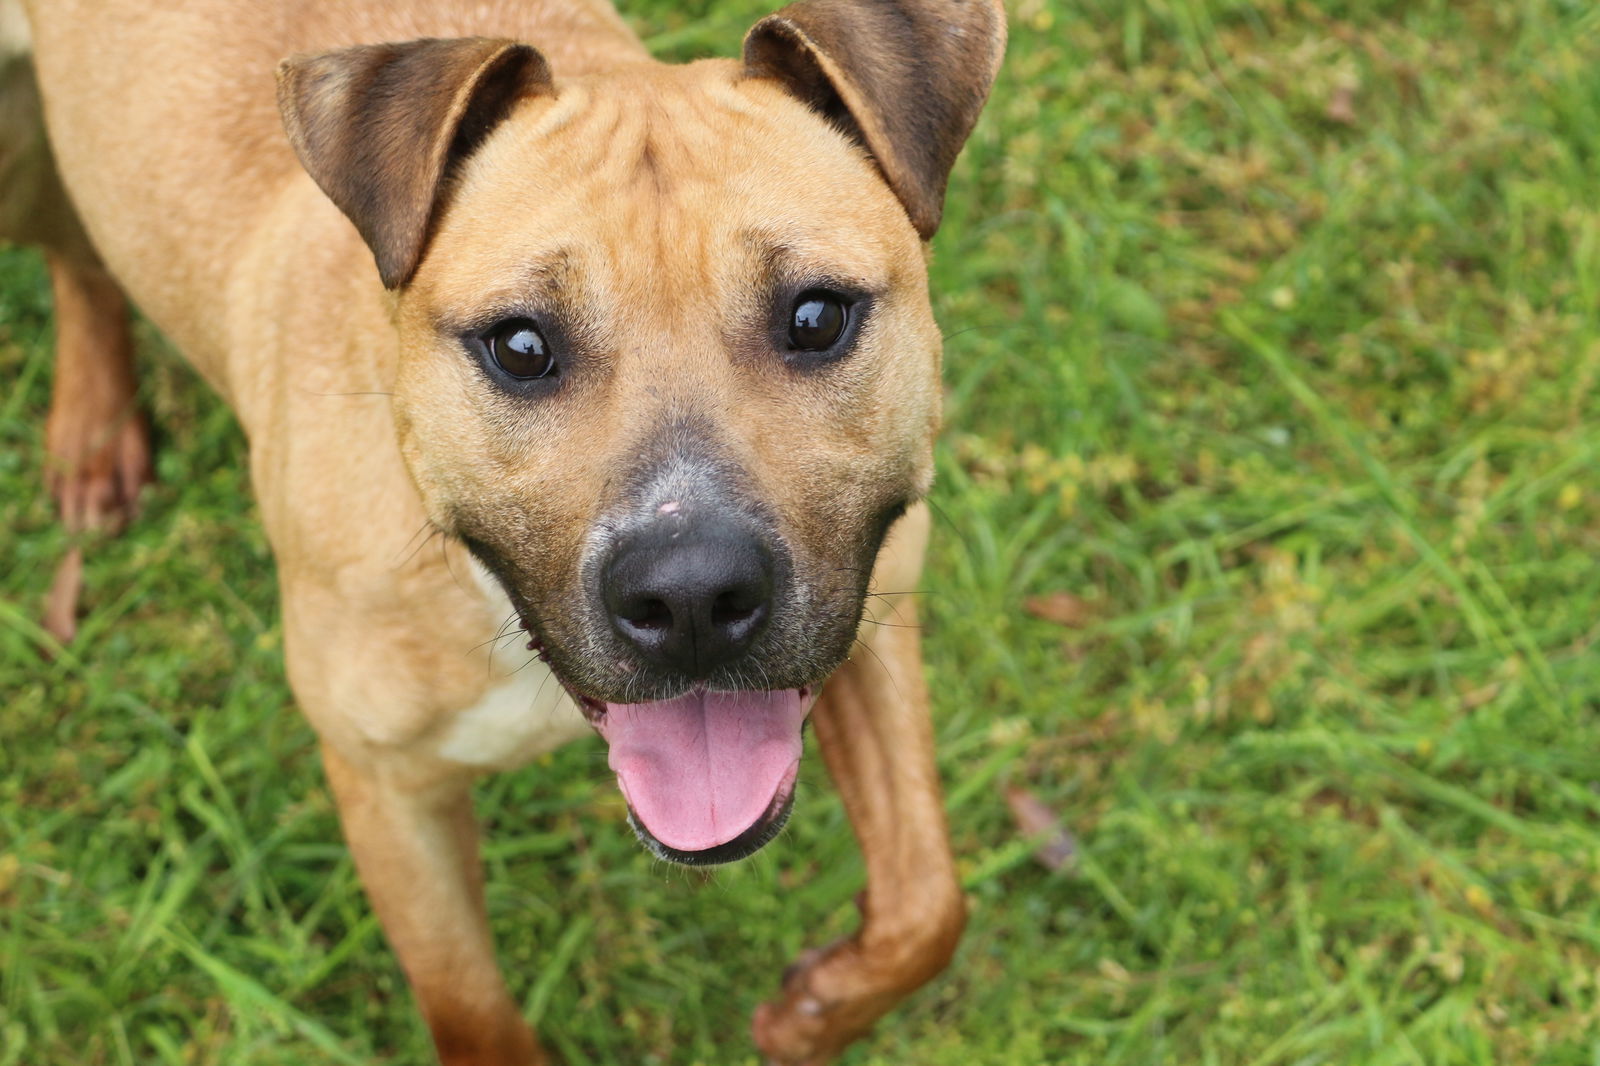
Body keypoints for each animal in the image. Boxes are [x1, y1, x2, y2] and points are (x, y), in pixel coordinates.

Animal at [12, 2, 1004, 1056]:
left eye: (816, 317)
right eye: (520, 346)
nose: (691, 596)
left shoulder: (873, 610)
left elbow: (930, 903)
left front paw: (816, 1015)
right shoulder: (389, 791)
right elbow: (470, 1009)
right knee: (71, 253)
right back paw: (91, 426)